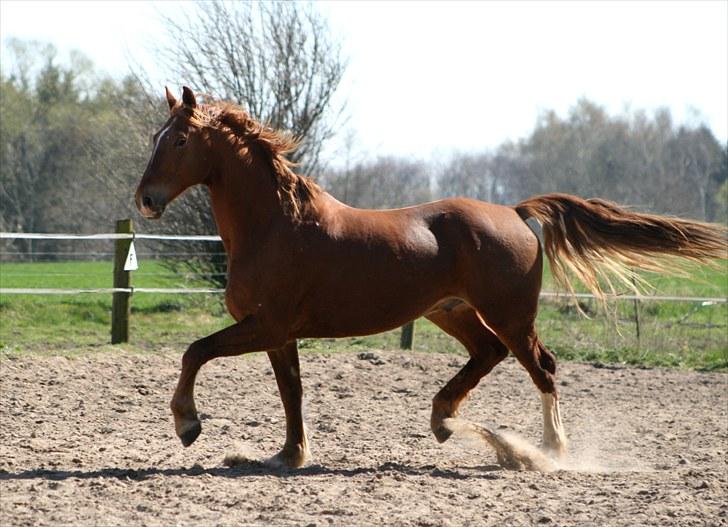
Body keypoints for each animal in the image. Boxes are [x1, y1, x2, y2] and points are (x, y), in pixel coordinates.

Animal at [135, 86, 728, 470]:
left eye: (181, 139)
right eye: (158, 136)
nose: (145, 200)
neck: (277, 223)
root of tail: (515, 212)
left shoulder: (268, 326)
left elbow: (194, 352)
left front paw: (188, 426)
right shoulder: (279, 334)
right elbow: (291, 392)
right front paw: (288, 455)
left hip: (510, 315)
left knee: (542, 368)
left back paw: (548, 452)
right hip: (454, 312)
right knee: (489, 355)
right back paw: (446, 420)